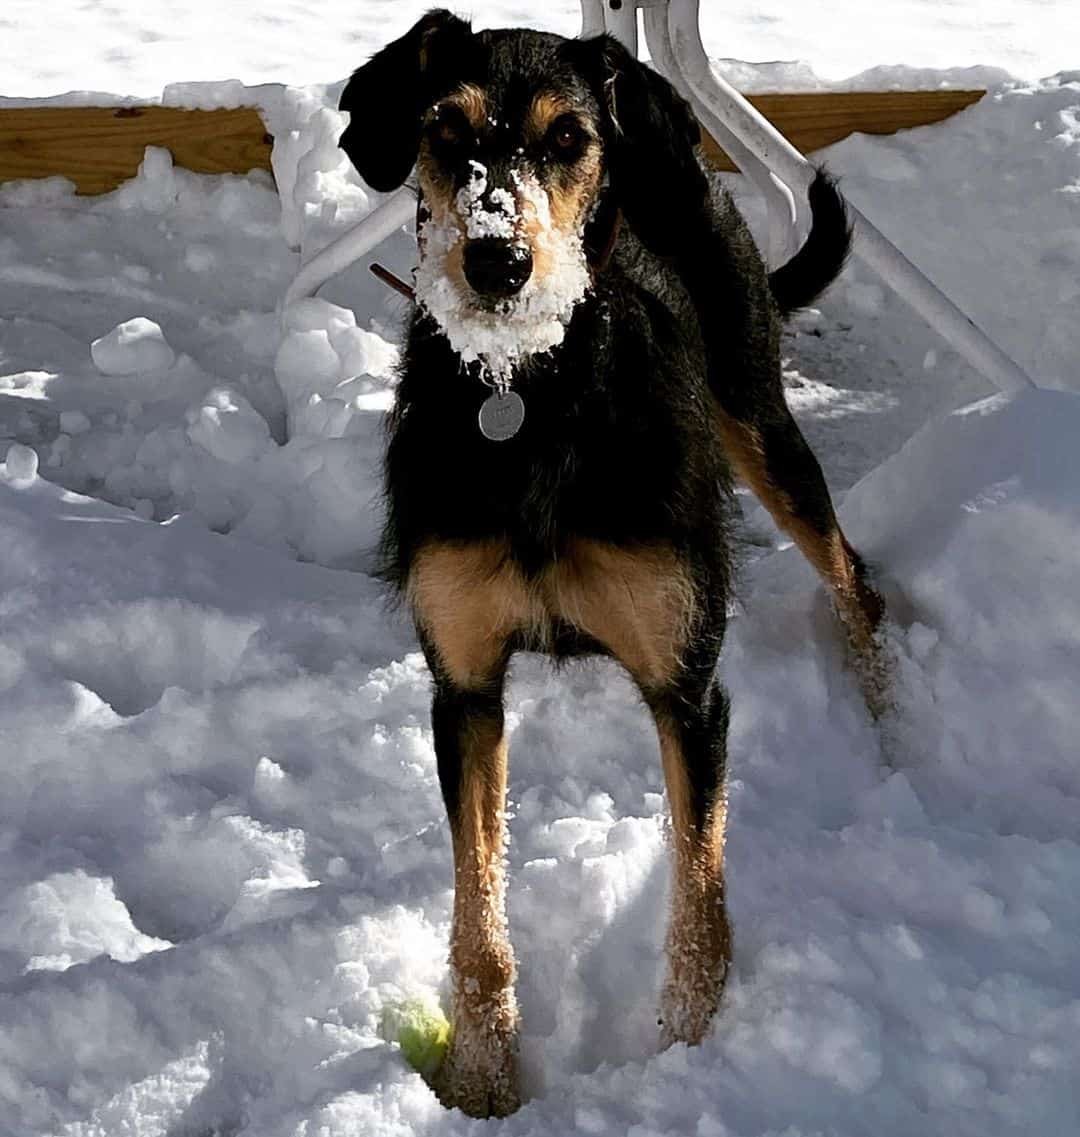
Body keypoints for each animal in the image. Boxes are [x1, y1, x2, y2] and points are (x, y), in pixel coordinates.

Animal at [341, 13, 886, 1118]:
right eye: (441, 129)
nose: (497, 261)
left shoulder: (690, 689)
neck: (532, 397)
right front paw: (481, 1079)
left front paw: (686, 1061)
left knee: (853, 575)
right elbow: (476, 912)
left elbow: (698, 898)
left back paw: (889, 723)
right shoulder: (462, 686)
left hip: (759, 417)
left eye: (568, 140)